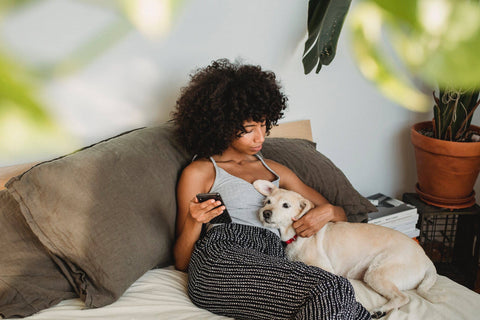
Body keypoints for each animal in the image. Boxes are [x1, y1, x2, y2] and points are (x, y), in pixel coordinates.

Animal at [255, 180, 442, 318]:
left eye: (286, 205)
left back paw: (379, 310)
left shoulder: (325, 268)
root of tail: (427, 261)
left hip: (376, 272)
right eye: (268, 202)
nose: (265, 213)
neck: (294, 236)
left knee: (403, 297)